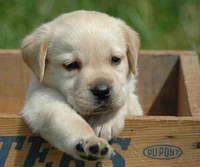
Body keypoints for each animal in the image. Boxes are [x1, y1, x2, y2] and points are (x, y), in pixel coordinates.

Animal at [20, 10, 143, 160]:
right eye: (71, 65)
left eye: (115, 60)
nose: (102, 90)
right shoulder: (41, 99)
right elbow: (70, 120)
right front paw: (90, 141)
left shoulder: (131, 101)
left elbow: (126, 99)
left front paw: (105, 120)